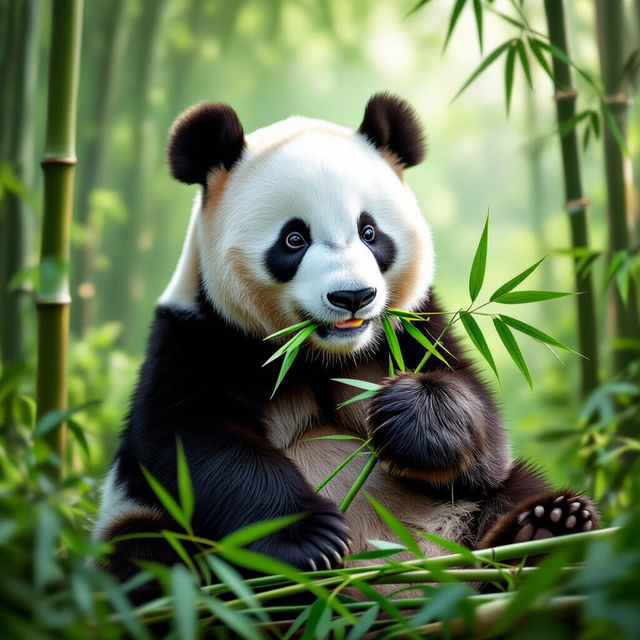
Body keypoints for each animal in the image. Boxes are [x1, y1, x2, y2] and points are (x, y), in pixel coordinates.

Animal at [95, 93, 598, 583]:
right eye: (294, 239)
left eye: (369, 232)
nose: (353, 296)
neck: (322, 354)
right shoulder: (199, 335)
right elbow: (193, 441)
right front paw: (312, 539)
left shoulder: (412, 328)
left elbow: (481, 430)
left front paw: (408, 414)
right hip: (146, 528)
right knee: (151, 556)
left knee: (512, 488)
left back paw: (545, 531)